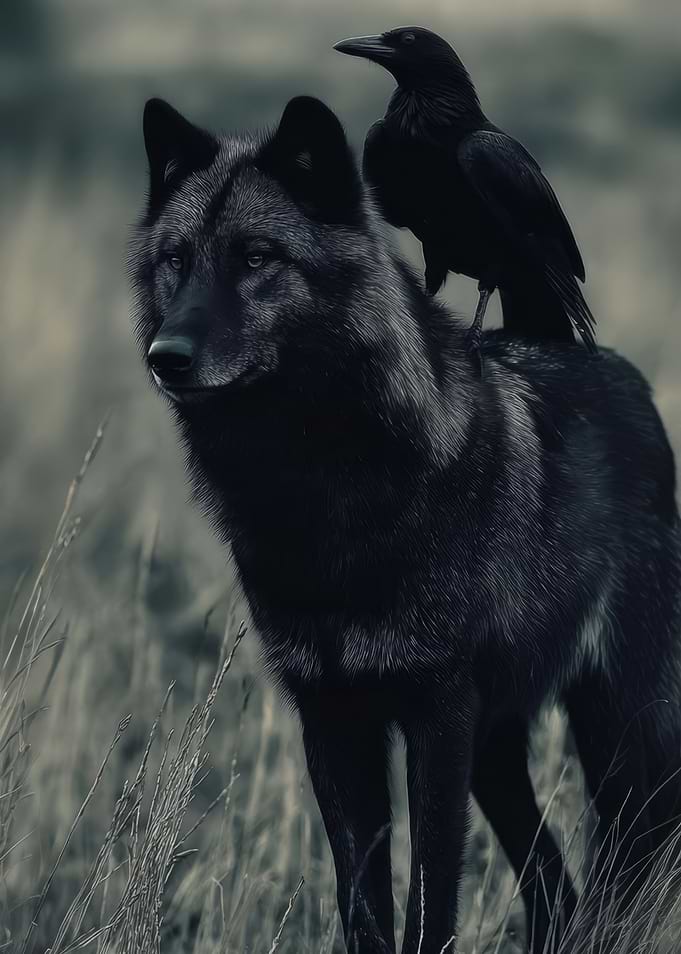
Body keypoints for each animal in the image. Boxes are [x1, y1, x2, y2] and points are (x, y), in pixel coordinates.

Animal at [129, 95, 681, 954]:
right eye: (177, 260)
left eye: (256, 256)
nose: (166, 356)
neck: (321, 497)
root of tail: (625, 375)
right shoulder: (332, 718)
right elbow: (363, 904)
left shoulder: (437, 716)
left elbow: (429, 901)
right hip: (499, 753)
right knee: (553, 886)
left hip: (622, 735)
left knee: (617, 864)